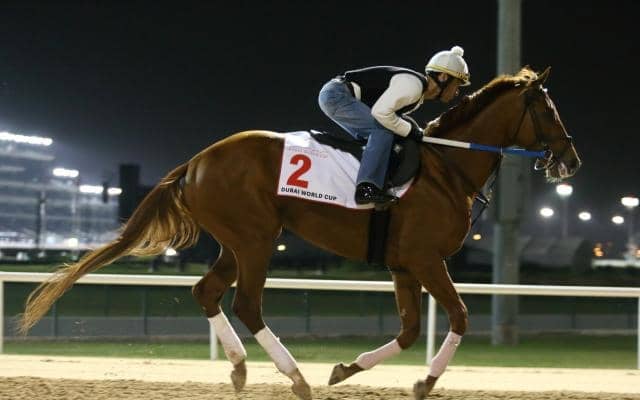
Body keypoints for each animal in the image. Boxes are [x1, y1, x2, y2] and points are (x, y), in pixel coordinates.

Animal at [19, 67, 580, 400]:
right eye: (549, 110)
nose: (571, 160)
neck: (448, 167)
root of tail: (197, 161)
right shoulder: (426, 259)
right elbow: (460, 317)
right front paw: (425, 380)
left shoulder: (403, 264)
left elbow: (408, 330)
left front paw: (348, 369)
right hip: (256, 239)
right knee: (246, 304)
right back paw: (295, 377)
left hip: (238, 240)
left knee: (207, 292)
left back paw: (241, 369)